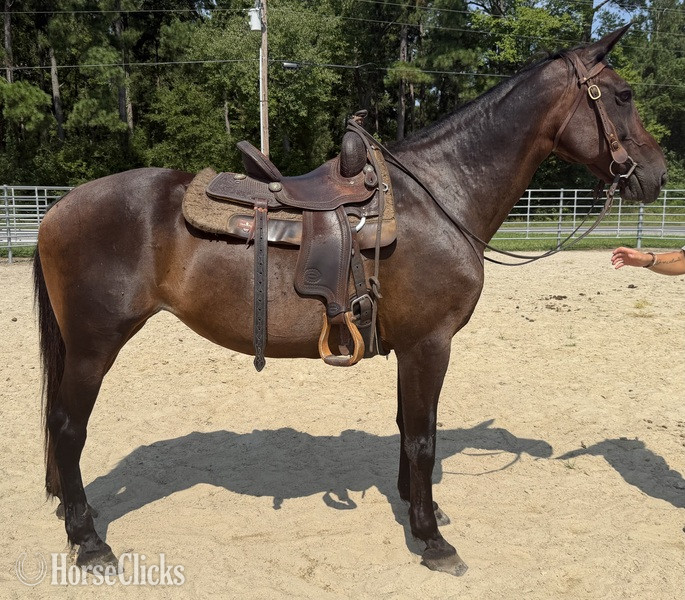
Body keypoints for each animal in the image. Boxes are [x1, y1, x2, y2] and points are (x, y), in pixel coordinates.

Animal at [33, 26, 667, 576]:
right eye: (623, 95)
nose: (658, 174)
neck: (440, 197)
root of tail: (57, 209)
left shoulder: (413, 346)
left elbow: (412, 426)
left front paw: (421, 510)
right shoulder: (430, 344)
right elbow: (422, 438)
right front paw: (432, 542)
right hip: (93, 346)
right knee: (67, 428)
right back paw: (89, 541)